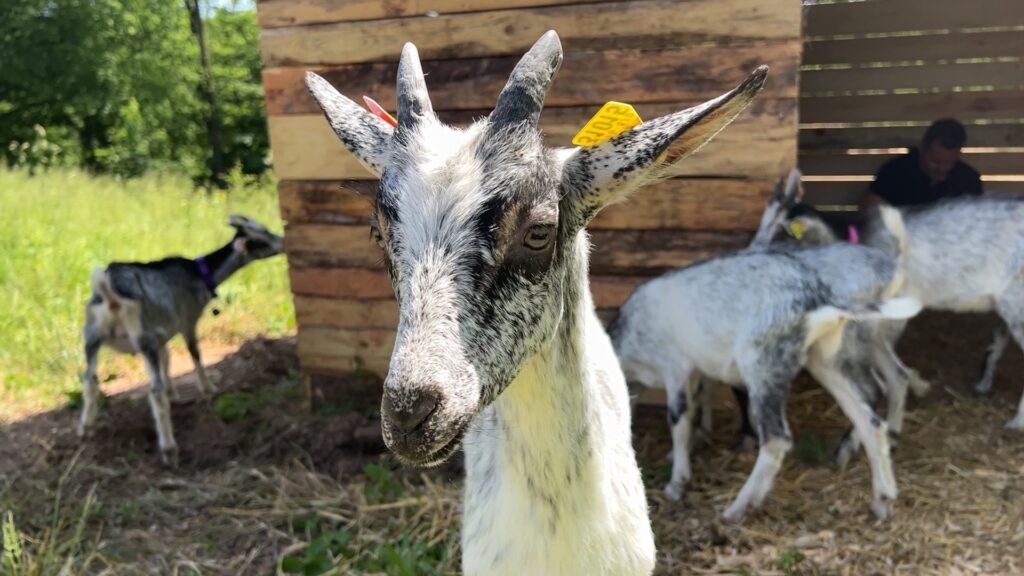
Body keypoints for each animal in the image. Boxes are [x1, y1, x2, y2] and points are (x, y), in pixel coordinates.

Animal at [77, 215, 282, 467]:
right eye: (261, 239)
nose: (282, 242)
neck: (199, 274)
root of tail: (111, 291)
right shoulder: (187, 321)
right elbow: (195, 354)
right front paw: (208, 388)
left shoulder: (161, 334)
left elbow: (167, 360)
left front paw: (173, 392)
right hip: (142, 335)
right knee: (154, 392)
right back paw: (169, 450)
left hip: (92, 334)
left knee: (89, 380)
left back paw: (86, 428)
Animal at [610, 199, 925, 522]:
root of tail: (819, 302)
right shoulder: (695, 371)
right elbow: (698, 403)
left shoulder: (676, 366)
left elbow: (678, 419)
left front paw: (677, 482)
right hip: (823, 359)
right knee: (870, 422)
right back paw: (882, 499)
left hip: (764, 363)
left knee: (777, 439)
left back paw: (737, 508)